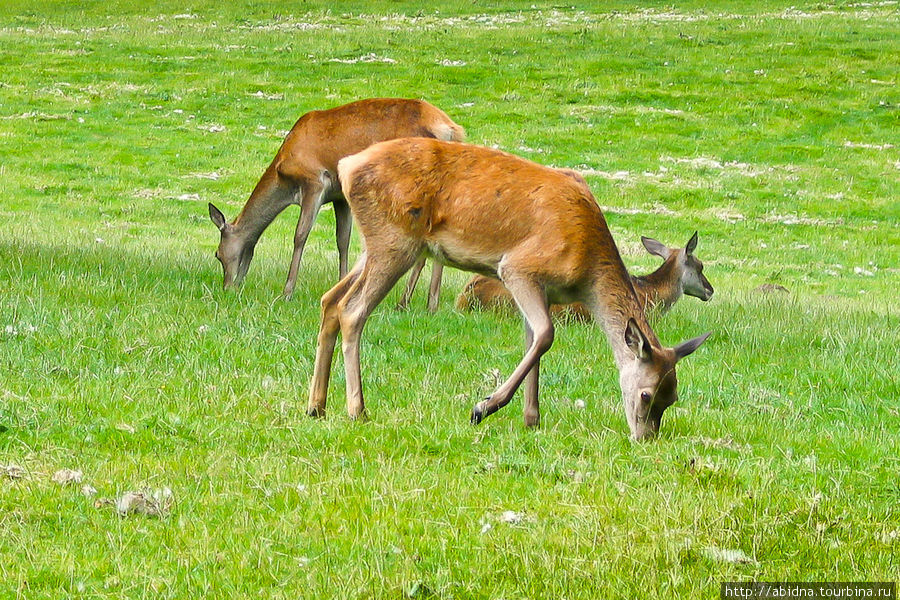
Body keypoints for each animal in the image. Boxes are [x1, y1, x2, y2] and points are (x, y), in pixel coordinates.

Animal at [207, 98, 460, 300]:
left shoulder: (315, 181)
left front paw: (287, 291)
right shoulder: (340, 197)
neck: (284, 176)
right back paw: (430, 304)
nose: (229, 287)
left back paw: (405, 301)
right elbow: (343, 239)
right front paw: (341, 285)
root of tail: (449, 129)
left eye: (217, 255)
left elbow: (300, 235)